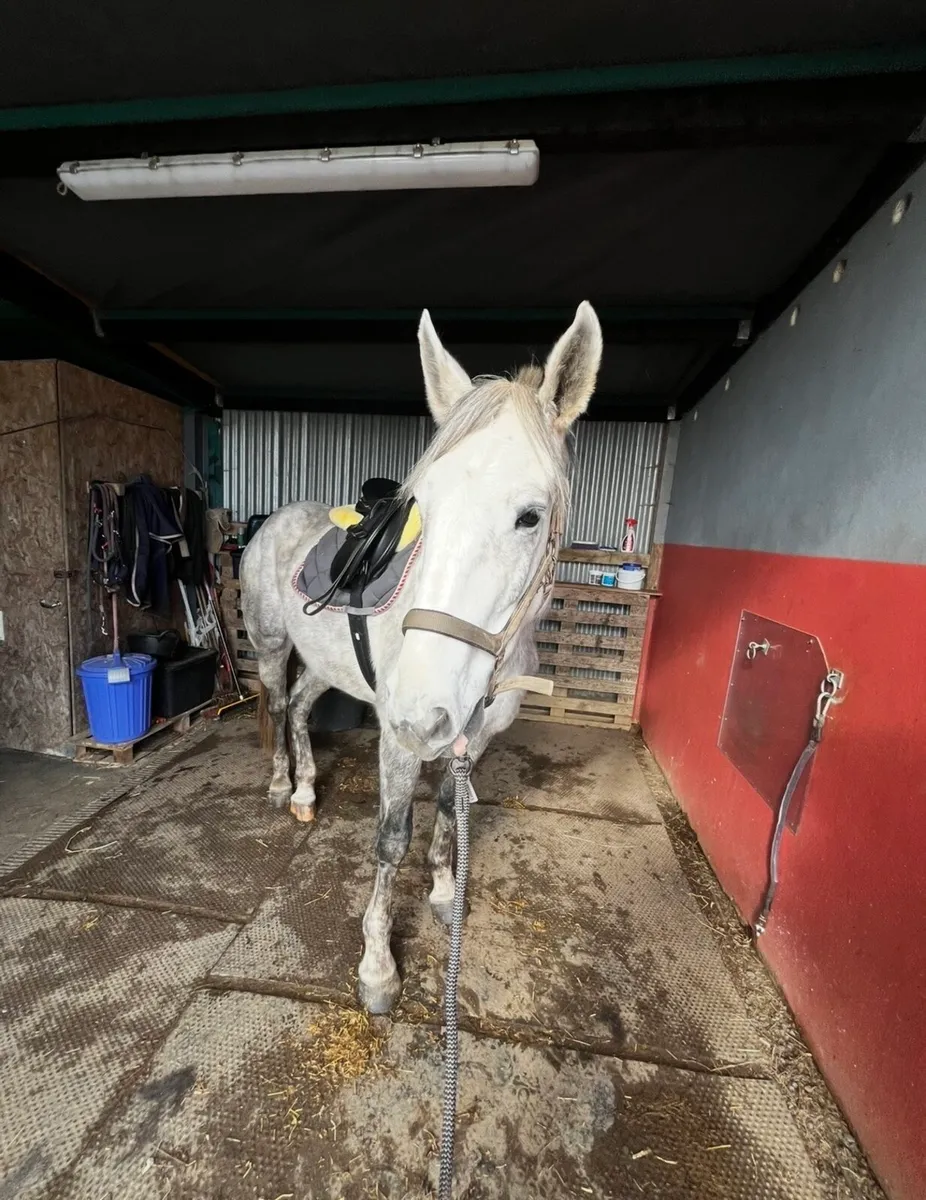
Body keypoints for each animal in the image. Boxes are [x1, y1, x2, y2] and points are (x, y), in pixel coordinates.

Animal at [240, 302, 602, 1014]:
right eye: (421, 511)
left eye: (530, 515)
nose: (421, 711)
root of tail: (271, 521)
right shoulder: (399, 741)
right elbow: (392, 838)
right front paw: (378, 968)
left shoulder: (473, 738)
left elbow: (448, 813)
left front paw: (441, 893)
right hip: (271, 649)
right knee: (273, 702)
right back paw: (279, 785)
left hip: (325, 668)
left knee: (297, 709)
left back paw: (306, 790)